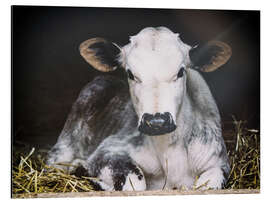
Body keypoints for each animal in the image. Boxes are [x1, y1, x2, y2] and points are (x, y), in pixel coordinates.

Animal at [47, 26, 232, 190]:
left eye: (180, 72)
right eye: (130, 73)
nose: (157, 122)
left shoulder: (219, 162)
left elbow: (208, 186)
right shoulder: (108, 150)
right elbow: (136, 184)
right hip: (66, 142)